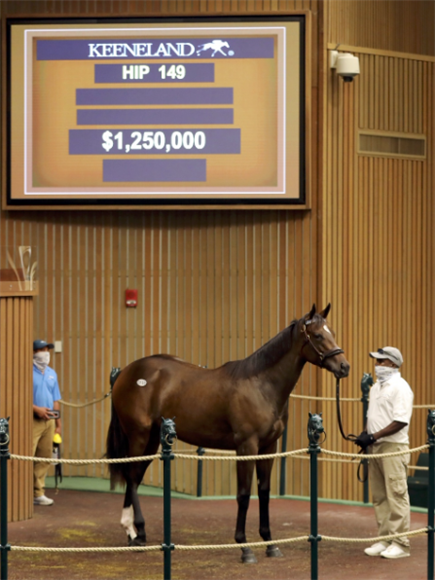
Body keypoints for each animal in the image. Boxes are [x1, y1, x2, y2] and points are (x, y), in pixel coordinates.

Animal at [106, 304, 350, 560]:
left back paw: (133, 533)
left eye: (332, 332)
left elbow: (264, 492)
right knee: (131, 476)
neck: (261, 385)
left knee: (135, 476)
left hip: (153, 439)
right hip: (138, 435)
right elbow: (243, 494)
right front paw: (244, 546)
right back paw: (137, 531)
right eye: (318, 335)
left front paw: (270, 544)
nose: (344, 367)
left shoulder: (268, 447)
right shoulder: (246, 446)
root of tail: (126, 373)